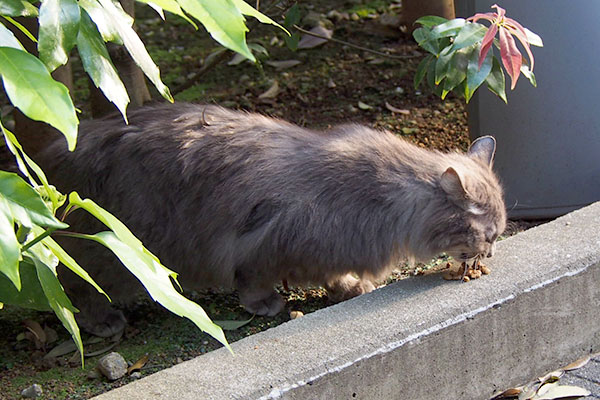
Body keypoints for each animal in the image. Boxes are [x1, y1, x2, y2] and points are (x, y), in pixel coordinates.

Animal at [36, 102, 506, 334]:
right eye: (488, 234)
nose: (490, 251)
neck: (384, 197)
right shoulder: (265, 243)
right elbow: (255, 281)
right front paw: (267, 305)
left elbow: (334, 274)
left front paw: (351, 287)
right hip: (117, 249)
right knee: (75, 286)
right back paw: (103, 322)